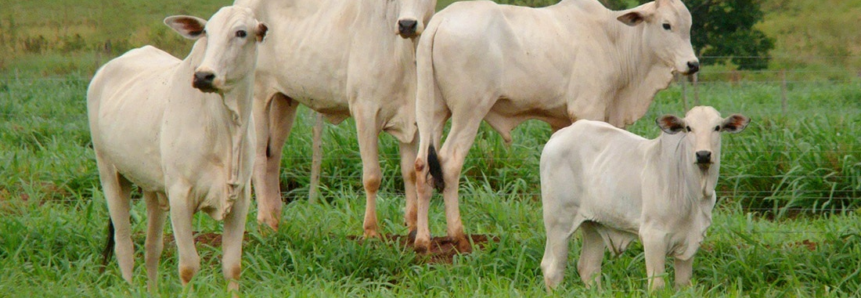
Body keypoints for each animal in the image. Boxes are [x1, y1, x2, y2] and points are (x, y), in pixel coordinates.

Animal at [89, 7, 268, 294]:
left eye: (241, 32)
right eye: (206, 32)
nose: (203, 76)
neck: (224, 126)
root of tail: (104, 71)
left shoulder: (240, 198)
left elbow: (232, 267)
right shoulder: (180, 195)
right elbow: (188, 267)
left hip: (152, 188)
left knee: (152, 248)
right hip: (110, 174)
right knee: (124, 246)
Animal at [232, 0, 436, 235]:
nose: (407, 24)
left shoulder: (411, 119)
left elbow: (409, 172)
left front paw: (412, 226)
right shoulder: (365, 112)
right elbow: (372, 176)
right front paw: (371, 230)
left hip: (284, 100)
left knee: (273, 156)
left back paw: (275, 221)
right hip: (257, 97)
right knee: (258, 159)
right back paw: (264, 221)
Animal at [414, 0, 704, 253]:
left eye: (688, 26)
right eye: (666, 25)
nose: (693, 64)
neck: (613, 39)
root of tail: (440, 19)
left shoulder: (561, 123)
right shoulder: (589, 110)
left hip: (434, 112)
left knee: (421, 166)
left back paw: (422, 242)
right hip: (469, 111)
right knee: (449, 164)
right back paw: (459, 238)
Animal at [540, 107, 748, 292]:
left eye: (717, 127)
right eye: (688, 128)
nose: (703, 154)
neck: (694, 190)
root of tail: (558, 136)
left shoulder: (690, 241)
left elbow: (683, 285)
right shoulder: (652, 235)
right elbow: (657, 285)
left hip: (593, 224)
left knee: (588, 268)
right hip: (558, 222)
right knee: (552, 269)